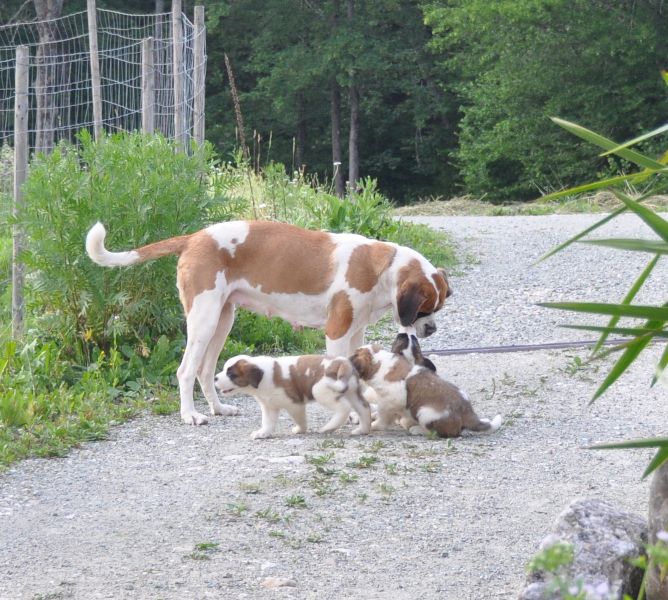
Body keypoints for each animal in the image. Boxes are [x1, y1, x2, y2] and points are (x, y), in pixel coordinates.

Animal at [83, 220, 448, 426]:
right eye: (426, 308)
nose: (431, 330)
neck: (380, 267)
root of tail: (195, 237)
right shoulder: (337, 333)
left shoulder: (356, 332)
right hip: (203, 320)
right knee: (186, 371)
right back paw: (190, 415)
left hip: (222, 321)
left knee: (204, 371)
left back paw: (218, 409)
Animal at [214, 354, 370, 438]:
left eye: (232, 375)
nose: (215, 378)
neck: (263, 377)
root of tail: (342, 362)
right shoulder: (269, 406)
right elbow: (268, 422)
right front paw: (263, 433)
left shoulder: (294, 404)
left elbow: (300, 420)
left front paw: (300, 430)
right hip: (352, 392)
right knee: (364, 408)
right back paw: (362, 430)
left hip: (319, 390)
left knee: (344, 408)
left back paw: (328, 427)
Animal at [350, 340, 500, 438]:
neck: (379, 363)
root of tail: (467, 412)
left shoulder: (390, 402)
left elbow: (383, 419)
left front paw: (374, 425)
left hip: (425, 412)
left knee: (438, 433)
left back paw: (417, 429)